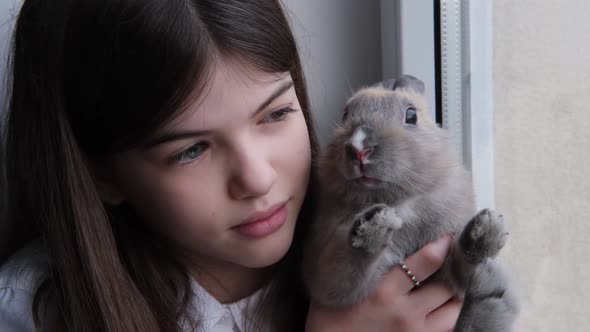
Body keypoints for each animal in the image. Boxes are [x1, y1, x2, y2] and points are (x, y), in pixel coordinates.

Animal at [302, 76, 520, 332]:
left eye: (411, 116)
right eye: (345, 115)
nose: (359, 149)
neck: (400, 201)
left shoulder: (450, 272)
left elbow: (462, 265)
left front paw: (486, 231)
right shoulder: (328, 279)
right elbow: (347, 268)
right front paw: (375, 224)